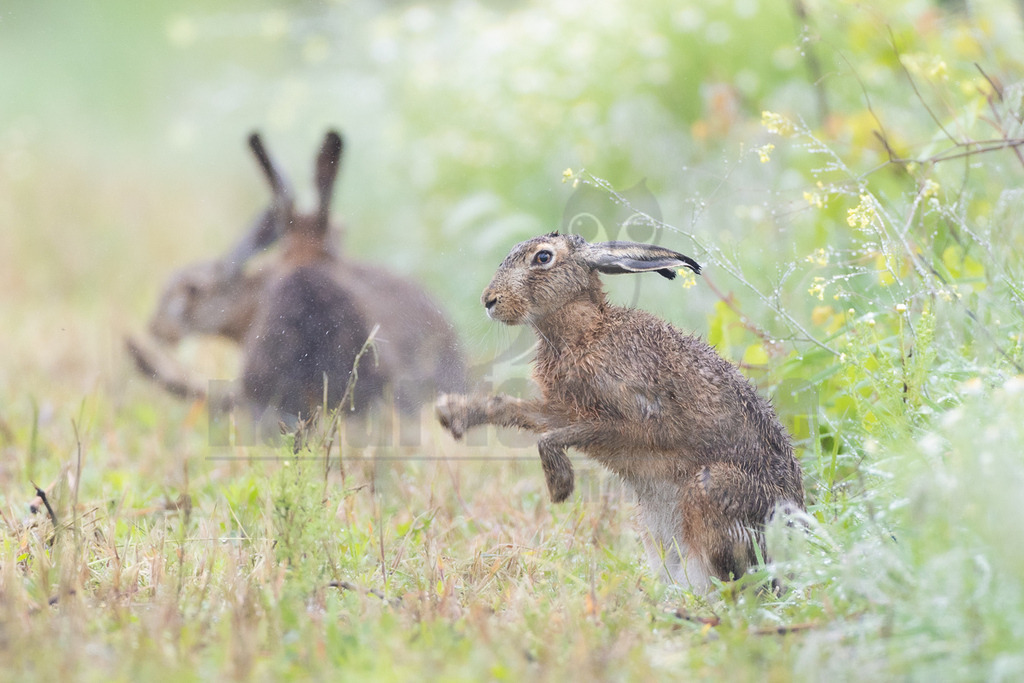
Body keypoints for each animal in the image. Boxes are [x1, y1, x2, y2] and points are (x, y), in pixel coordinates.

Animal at [436, 232, 804, 592]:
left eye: (543, 257)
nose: (489, 300)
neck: (588, 332)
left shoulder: (637, 422)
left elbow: (553, 438)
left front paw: (560, 486)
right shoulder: (564, 411)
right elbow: (517, 412)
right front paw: (452, 414)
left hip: (716, 491)